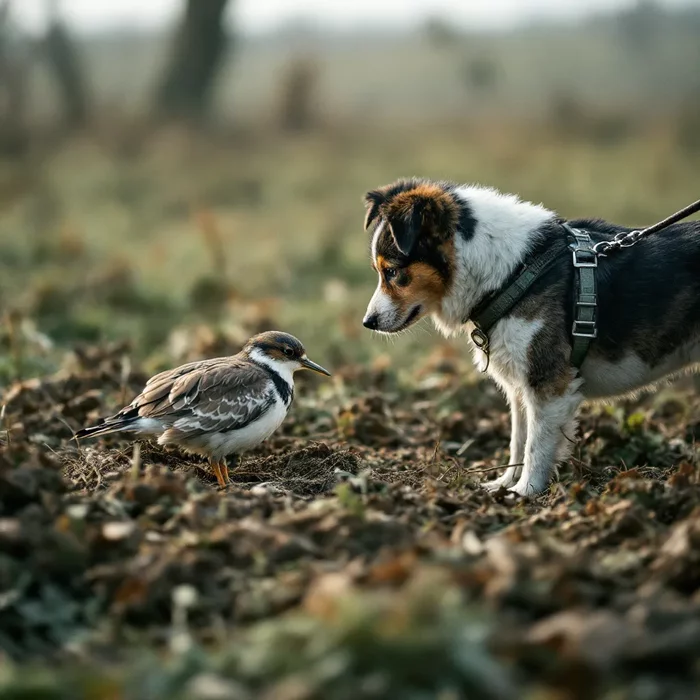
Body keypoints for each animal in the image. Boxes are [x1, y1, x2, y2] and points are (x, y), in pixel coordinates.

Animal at [360, 178, 700, 494]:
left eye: (392, 272)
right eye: (380, 272)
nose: (368, 322)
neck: (511, 271)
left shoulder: (549, 384)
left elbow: (536, 447)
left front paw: (524, 493)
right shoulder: (520, 386)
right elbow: (518, 440)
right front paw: (502, 485)